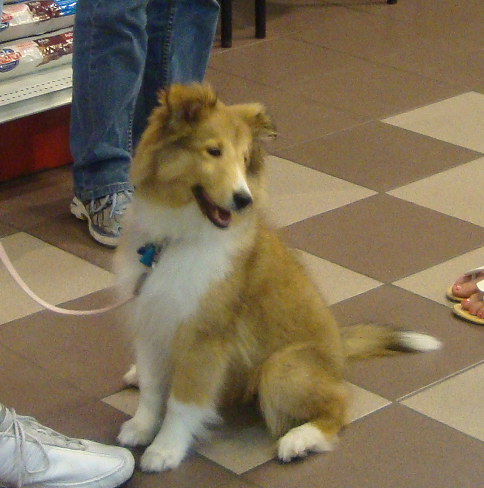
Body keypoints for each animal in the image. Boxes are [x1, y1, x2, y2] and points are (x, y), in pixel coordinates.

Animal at [114, 84, 442, 472]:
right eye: (213, 151)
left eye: (244, 160)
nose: (243, 199)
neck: (179, 236)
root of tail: (339, 350)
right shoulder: (150, 316)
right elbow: (152, 388)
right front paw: (141, 427)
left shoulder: (205, 337)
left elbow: (183, 402)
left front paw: (165, 450)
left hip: (281, 368)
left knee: (339, 406)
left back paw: (298, 440)